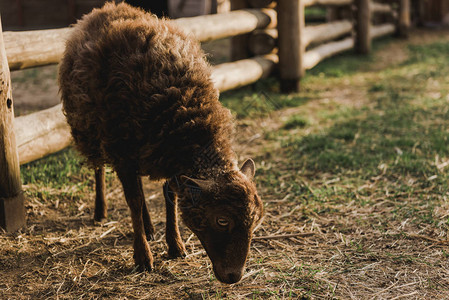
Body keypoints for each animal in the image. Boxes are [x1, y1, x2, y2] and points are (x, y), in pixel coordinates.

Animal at [59, 2, 262, 284]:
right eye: (221, 220)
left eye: (255, 221)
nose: (233, 276)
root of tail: (105, 9)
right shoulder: (124, 152)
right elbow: (133, 200)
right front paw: (143, 257)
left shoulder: (166, 154)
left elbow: (170, 197)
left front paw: (175, 245)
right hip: (90, 132)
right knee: (99, 169)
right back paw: (101, 212)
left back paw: (148, 227)